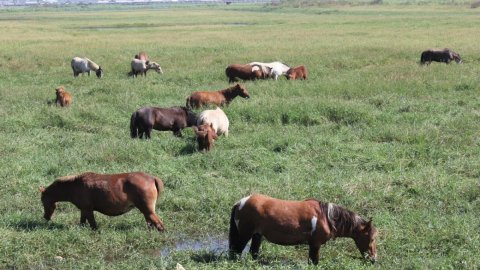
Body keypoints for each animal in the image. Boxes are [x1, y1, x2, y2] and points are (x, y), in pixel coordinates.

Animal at [229, 193, 378, 264]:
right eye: (371, 239)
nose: (374, 259)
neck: (325, 216)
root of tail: (241, 202)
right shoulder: (315, 245)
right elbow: (314, 262)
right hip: (245, 235)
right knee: (236, 252)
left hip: (257, 236)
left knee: (252, 253)